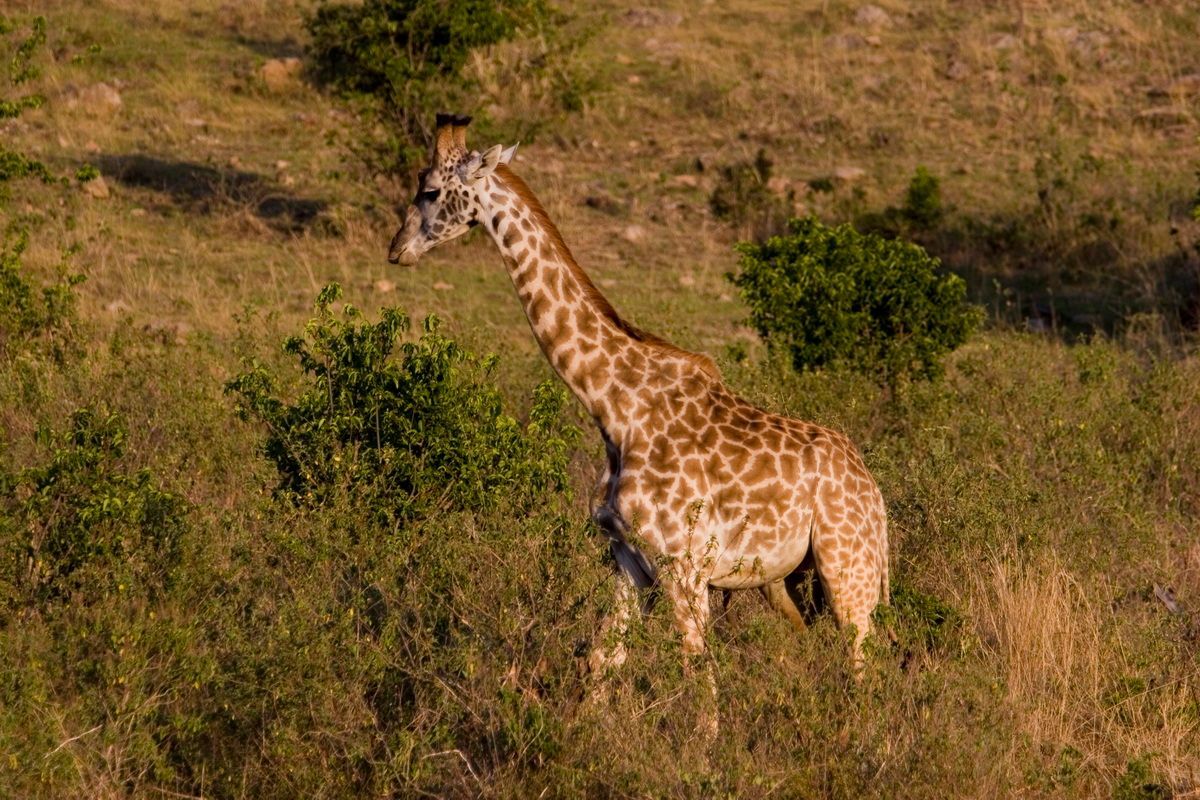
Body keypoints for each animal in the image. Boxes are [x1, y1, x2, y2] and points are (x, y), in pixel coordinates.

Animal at [388, 113, 889, 684]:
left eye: (430, 190)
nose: (396, 249)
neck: (614, 406)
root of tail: (874, 497)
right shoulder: (628, 559)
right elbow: (601, 660)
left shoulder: (684, 567)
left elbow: (699, 676)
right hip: (800, 578)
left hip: (846, 566)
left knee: (864, 664)